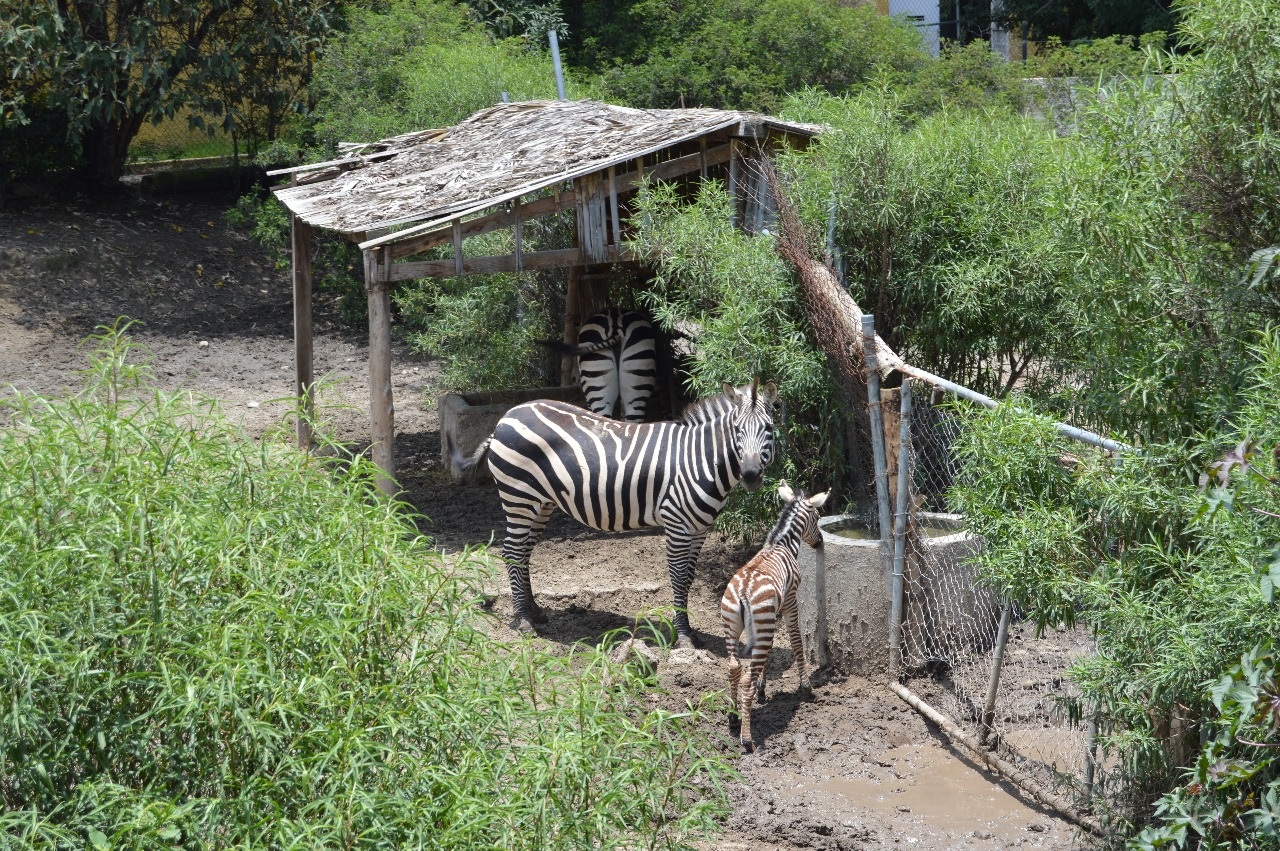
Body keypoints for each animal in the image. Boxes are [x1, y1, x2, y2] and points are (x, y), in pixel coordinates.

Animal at [446, 379, 778, 648]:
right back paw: (524, 620)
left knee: (524, 552)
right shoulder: (677, 524)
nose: (751, 476)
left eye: (769, 429)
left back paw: (535, 612)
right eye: (737, 430)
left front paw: (690, 631)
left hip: (541, 502)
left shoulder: (700, 529)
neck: (700, 461)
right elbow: (678, 577)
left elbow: (689, 578)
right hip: (519, 497)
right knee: (512, 552)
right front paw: (683, 635)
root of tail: (506, 417)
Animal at [721, 481, 829, 753]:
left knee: (734, 667)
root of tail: (743, 591)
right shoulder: (790, 601)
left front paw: (763, 689)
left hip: (733, 625)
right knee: (745, 677)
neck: (781, 544)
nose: (820, 543)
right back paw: (747, 739)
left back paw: (733, 717)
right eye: (817, 517)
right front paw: (807, 687)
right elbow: (796, 642)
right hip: (760, 621)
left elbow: (768, 654)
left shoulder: (770, 617)